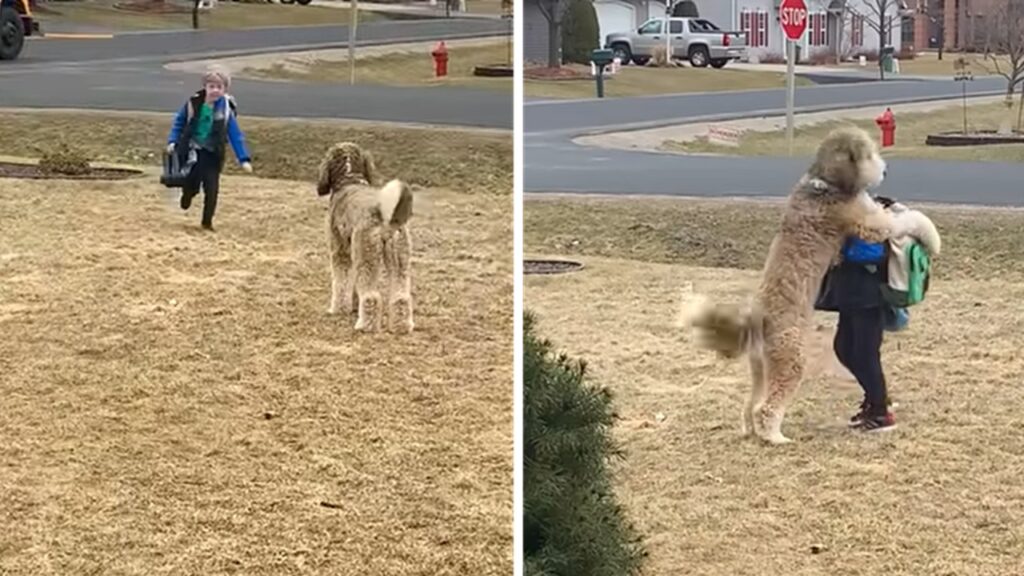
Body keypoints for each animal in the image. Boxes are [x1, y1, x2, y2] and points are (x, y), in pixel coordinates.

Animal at [319, 140, 415, 332]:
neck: (349, 179)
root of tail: (384, 214)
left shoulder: (340, 251)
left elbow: (341, 282)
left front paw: (338, 309)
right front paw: (355, 306)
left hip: (367, 258)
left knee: (371, 296)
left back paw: (365, 326)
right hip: (400, 260)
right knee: (401, 298)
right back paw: (401, 326)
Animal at [684, 127, 937, 444]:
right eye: (869, 154)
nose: (886, 169)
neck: (827, 181)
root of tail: (755, 320)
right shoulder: (867, 223)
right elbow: (905, 221)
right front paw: (933, 238)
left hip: (760, 368)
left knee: (750, 405)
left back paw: (752, 431)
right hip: (789, 361)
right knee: (767, 407)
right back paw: (775, 437)